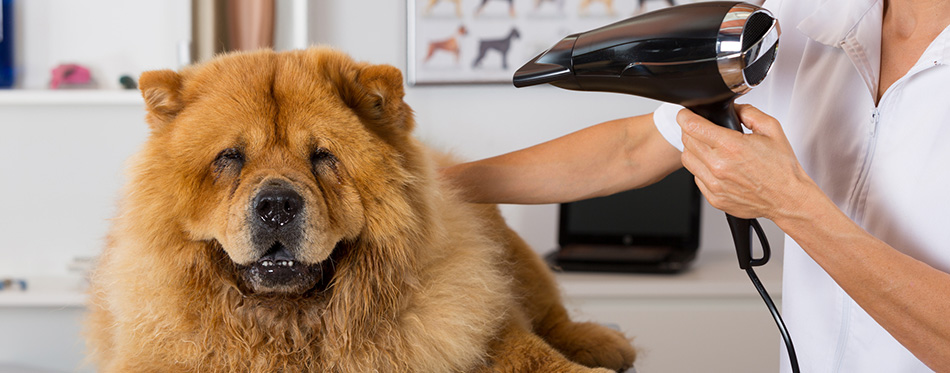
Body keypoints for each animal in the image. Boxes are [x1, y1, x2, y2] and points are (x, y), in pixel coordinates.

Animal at [85, 48, 636, 370]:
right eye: (230, 158)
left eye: (323, 157)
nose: (277, 204)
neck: (293, 325)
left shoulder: (476, 321)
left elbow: (529, 351)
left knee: (551, 315)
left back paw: (604, 344)